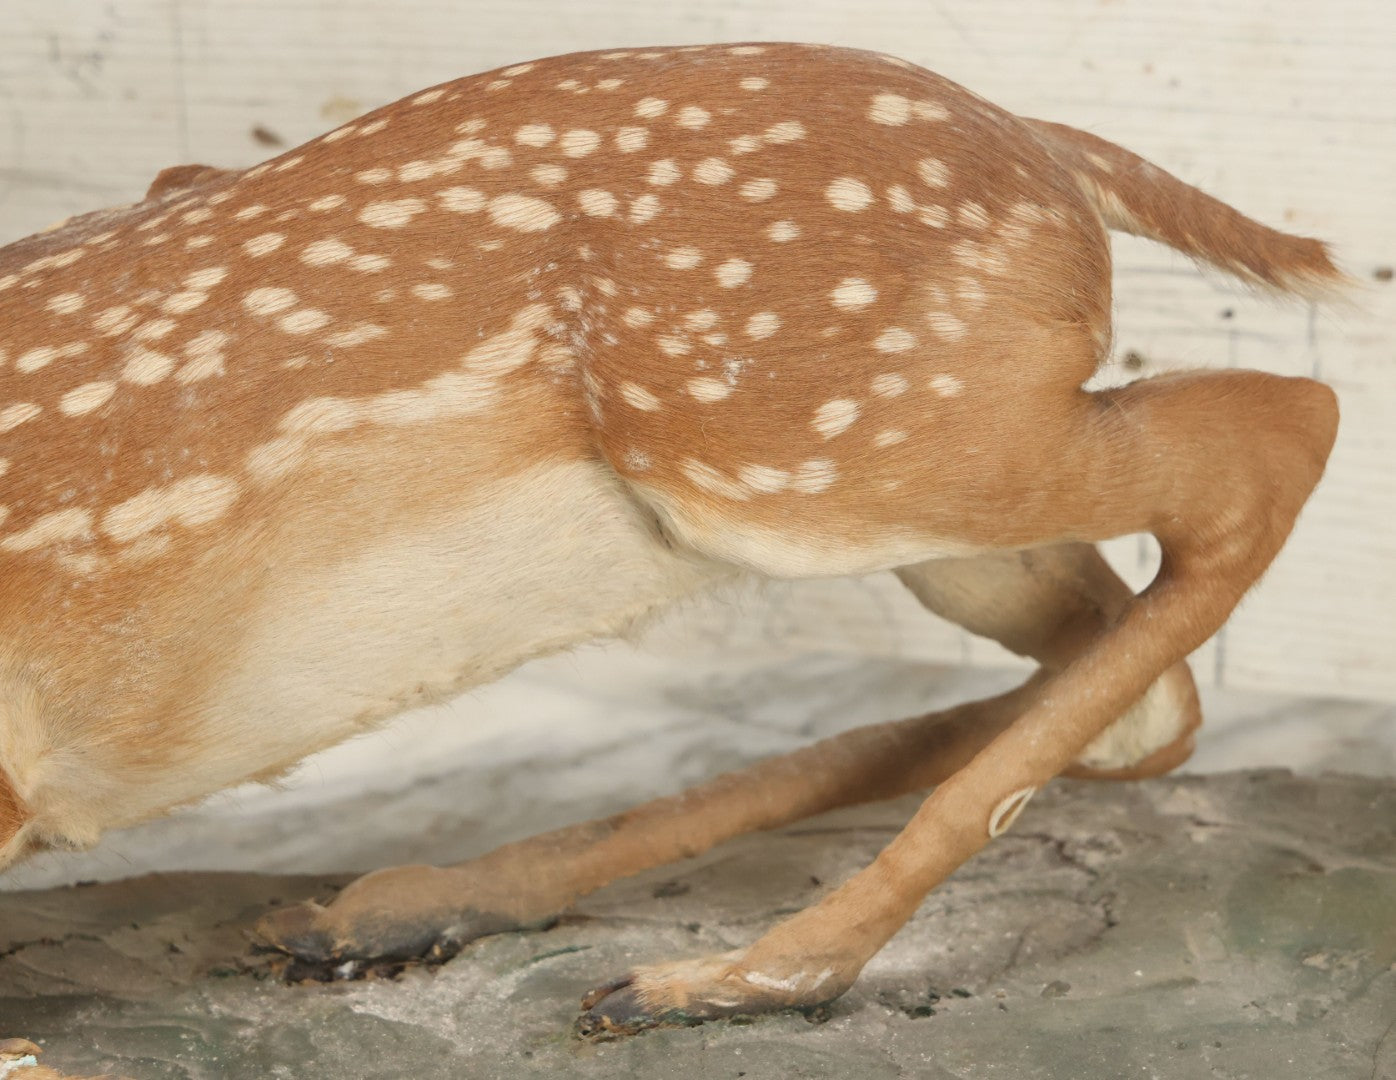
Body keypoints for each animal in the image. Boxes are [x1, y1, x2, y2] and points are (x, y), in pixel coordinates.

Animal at [0, 42, 1343, 1038]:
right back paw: (404, 911)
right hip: (898, 482)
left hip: (828, 448)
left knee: (1282, 431)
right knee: (1143, 687)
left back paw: (732, 978)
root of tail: (1051, 148)